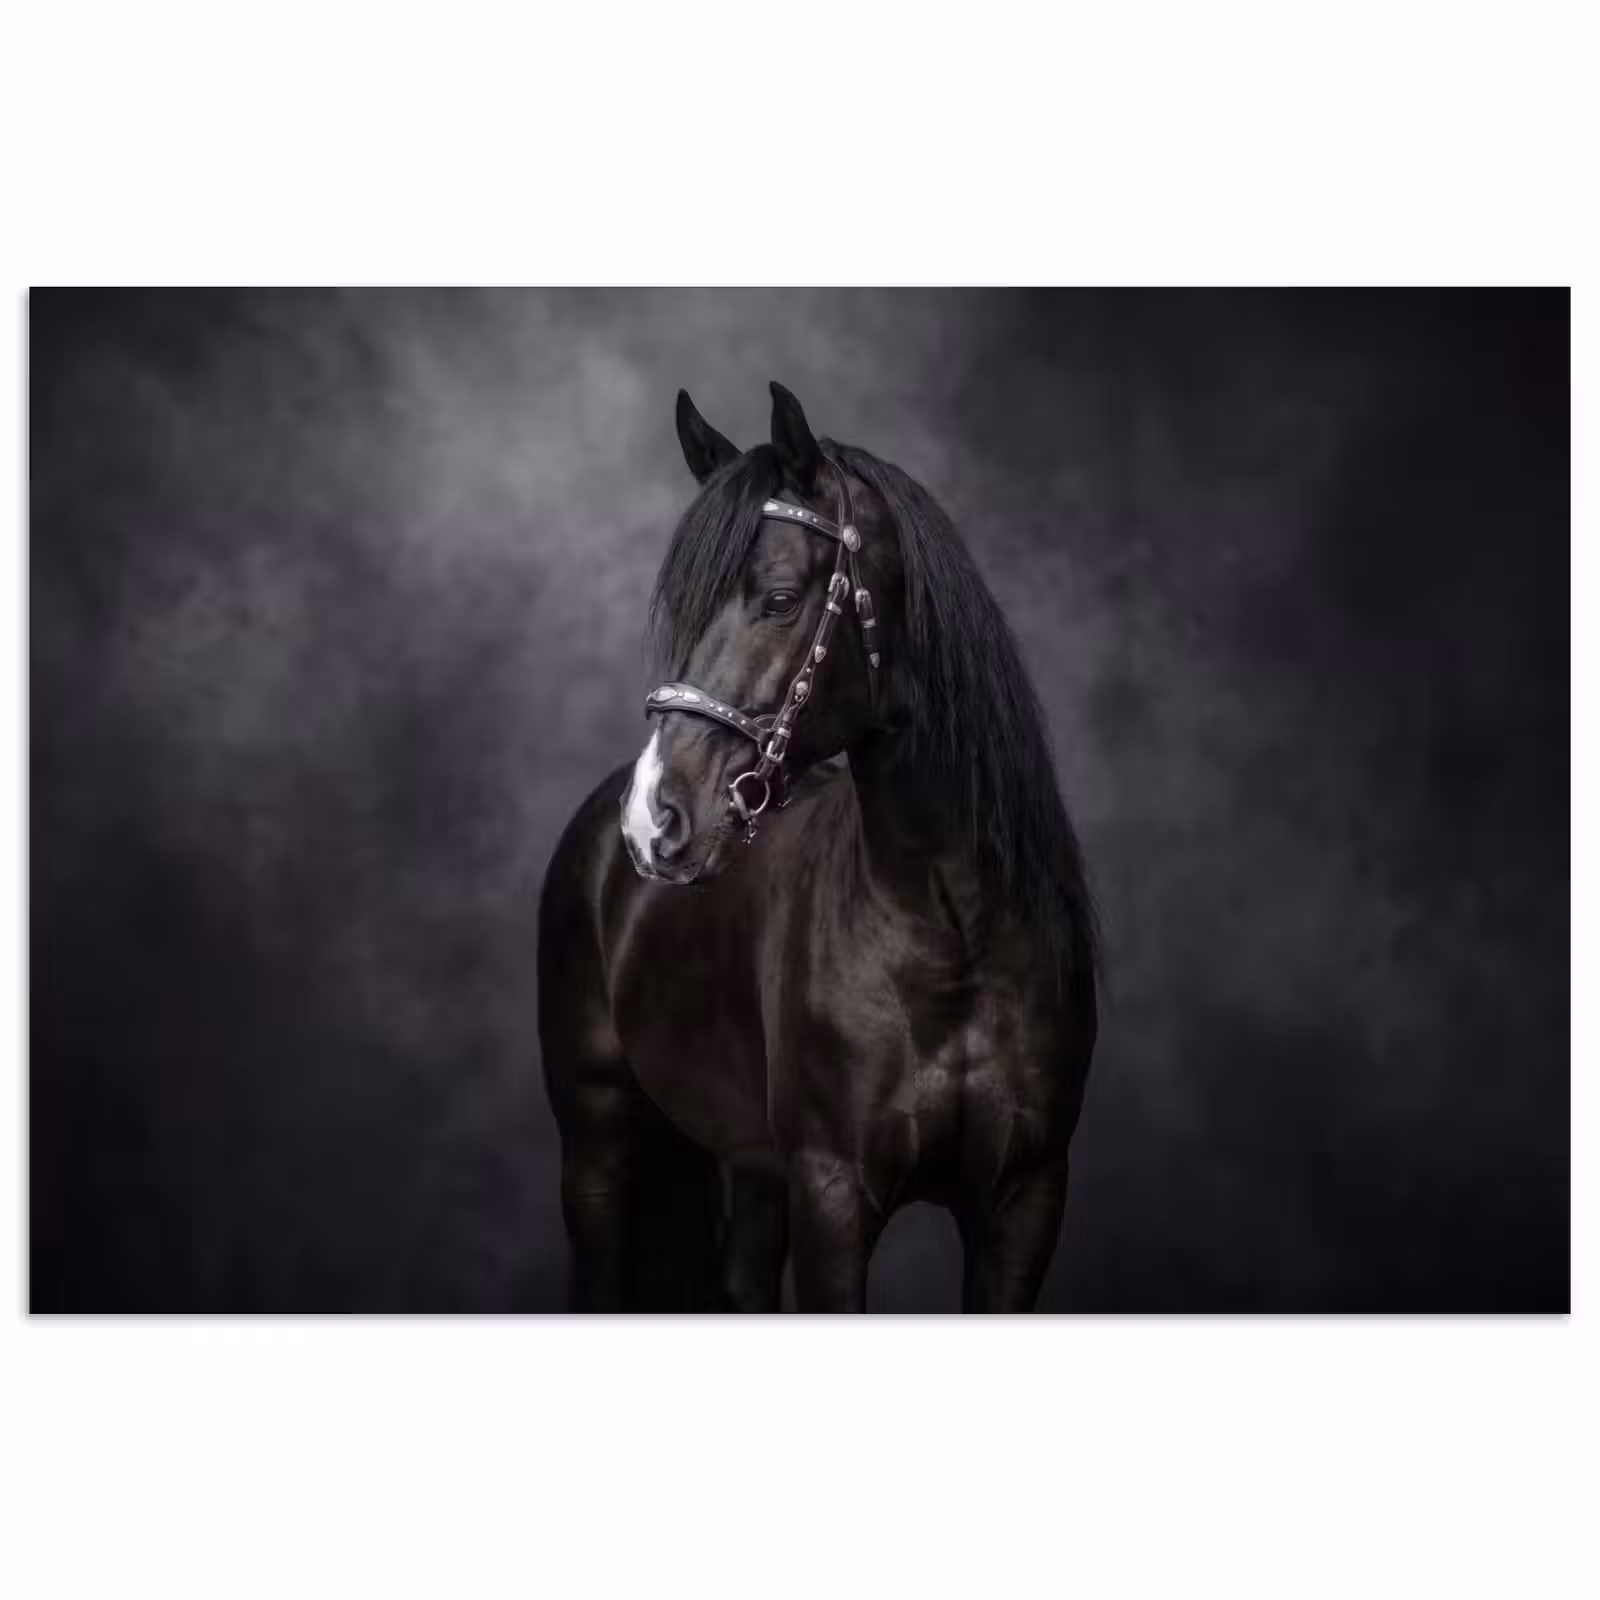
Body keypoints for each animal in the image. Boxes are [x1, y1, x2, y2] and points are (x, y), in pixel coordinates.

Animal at [538, 383, 1098, 1312]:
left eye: (777, 597)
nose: (654, 817)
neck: (954, 932)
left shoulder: (1025, 1198)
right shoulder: (833, 1192)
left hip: (751, 1167)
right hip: (597, 1152)